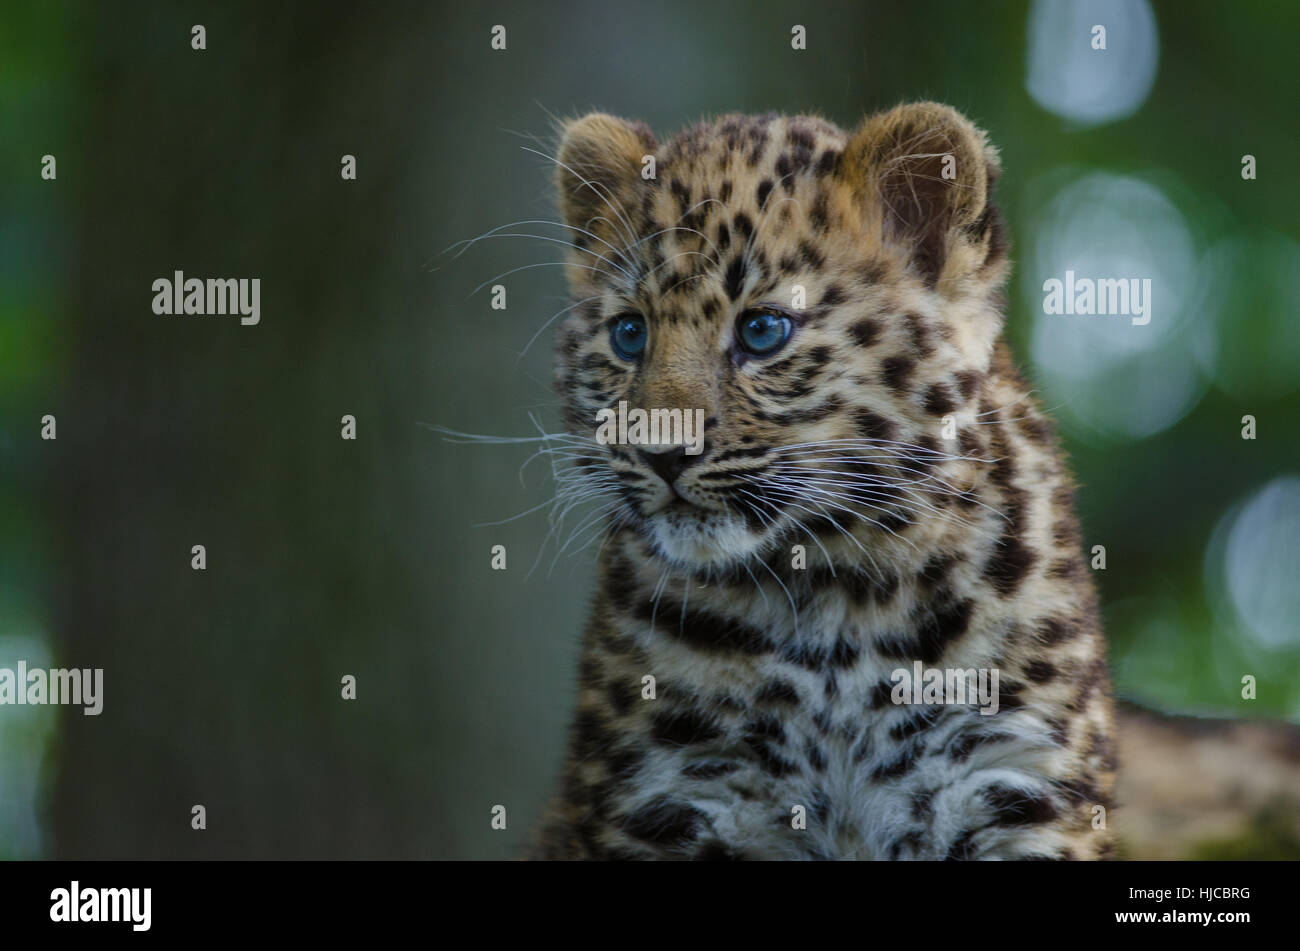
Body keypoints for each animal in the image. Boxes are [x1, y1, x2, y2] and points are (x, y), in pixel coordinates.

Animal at [526, 102, 1116, 860]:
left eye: (763, 330)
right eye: (629, 335)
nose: (661, 453)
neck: (833, 596)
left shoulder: (1009, 779)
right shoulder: (673, 796)